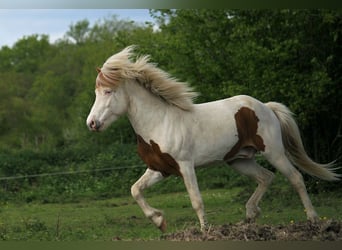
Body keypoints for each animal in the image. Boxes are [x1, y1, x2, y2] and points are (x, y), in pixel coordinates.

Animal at [86, 45, 340, 232]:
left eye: (108, 92)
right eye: (97, 92)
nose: (91, 124)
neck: (160, 122)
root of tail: (265, 106)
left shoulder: (185, 166)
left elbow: (196, 200)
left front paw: (205, 231)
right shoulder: (160, 169)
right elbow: (135, 190)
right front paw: (159, 221)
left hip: (274, 152)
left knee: (295, 178)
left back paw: (313, 220)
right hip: (239, 160)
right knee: (266, 177)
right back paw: (249, 216)